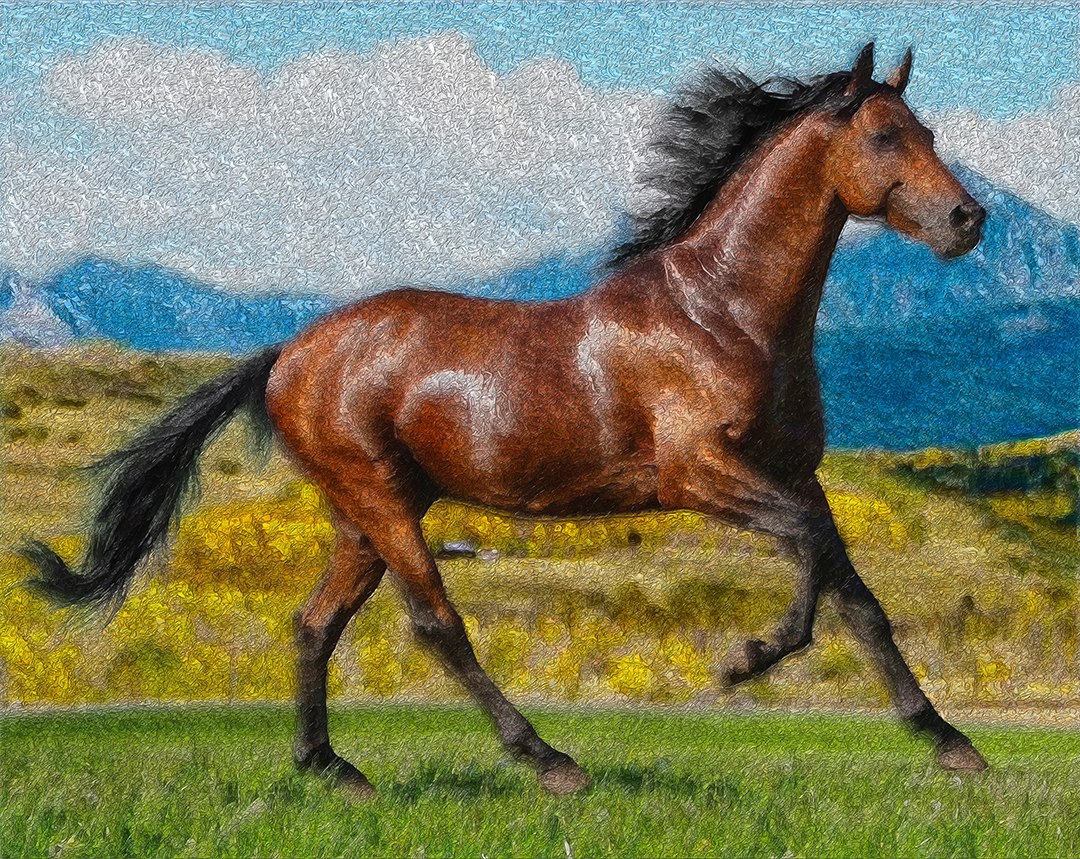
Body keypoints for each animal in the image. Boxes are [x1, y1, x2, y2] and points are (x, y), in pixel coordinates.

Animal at [24, 43, 989, 796]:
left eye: (930, 133)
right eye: (884, 135)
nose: (967, 218)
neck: (721, 312)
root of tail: (287, 356)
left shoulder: (794, 472)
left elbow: (856, 591)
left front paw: (949, 742)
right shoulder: (699, 472)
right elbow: (812, 557)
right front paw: (745, 658)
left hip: (363, 515)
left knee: (314, 622)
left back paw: (330, 768)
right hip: (381, 502)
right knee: (434, 623)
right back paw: (549, 760)